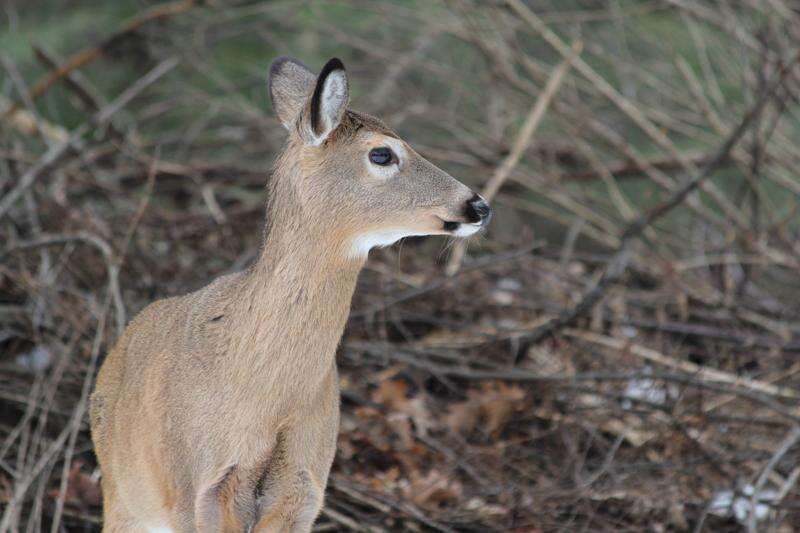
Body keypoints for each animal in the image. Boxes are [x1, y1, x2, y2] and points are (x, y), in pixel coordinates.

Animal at [87, 56, 488, 528]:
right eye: (382, 153)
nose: (478, 205)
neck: (269, 398)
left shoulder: (302, 490)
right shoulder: (196, 490)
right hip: (126, 498)